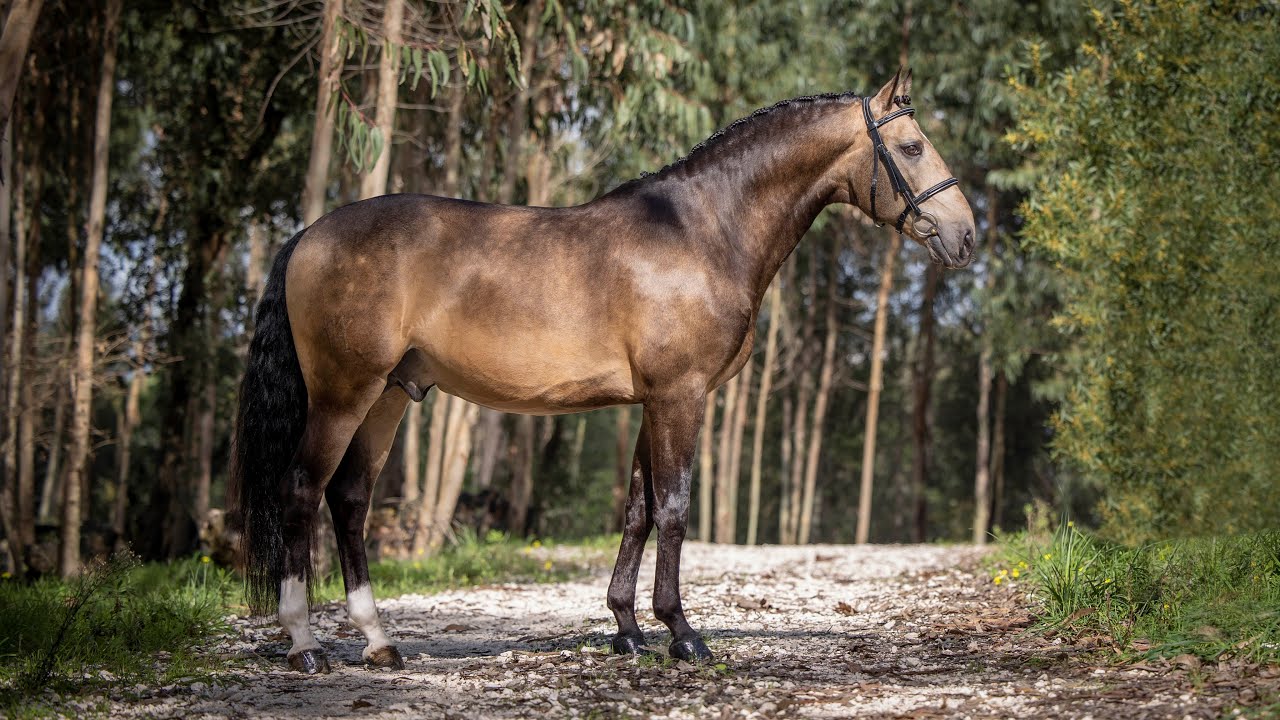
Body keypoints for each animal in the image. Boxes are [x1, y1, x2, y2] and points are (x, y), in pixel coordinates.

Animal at [228, 70, 976, 674]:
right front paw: (682, 634)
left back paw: (380, 642)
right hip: (341, 394)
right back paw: (305, 646)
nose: (966, 235)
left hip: (386, 396)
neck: (702, 230)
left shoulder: (652, 400)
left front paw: (626, 629)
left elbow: (638, 510)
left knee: (350, 499)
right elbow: (673, 508)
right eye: (912, 147)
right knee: (302, 490)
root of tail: (309, 234)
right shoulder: (680, 395)